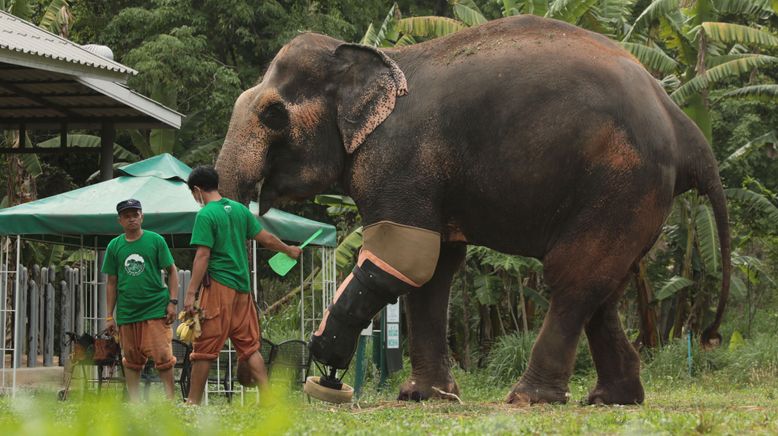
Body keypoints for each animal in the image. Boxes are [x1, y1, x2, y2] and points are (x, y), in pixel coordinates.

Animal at [215, 16, 732, 406]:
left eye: (273, 115)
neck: (375, 58)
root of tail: (682, 123)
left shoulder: (398, 159)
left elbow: (404, 260)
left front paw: (326, 354)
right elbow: (433, 270)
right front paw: (423, 397)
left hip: (621, 181)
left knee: (573, 278)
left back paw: (529, 398)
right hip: (636, 197)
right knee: (604, 288)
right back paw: (612, 399)